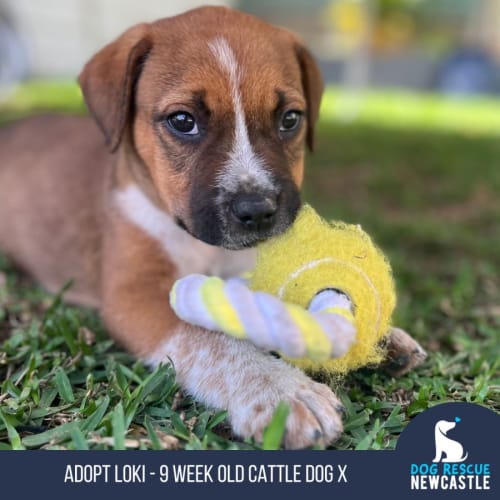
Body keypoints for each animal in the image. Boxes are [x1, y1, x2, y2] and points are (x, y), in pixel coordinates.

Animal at [0, 4, 426, 450]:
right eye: (182, 120)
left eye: (290, 119)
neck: (204, 247)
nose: (257, 211)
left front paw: (384, 337)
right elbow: (211, 342)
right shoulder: (137, 296)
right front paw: (280, 391)